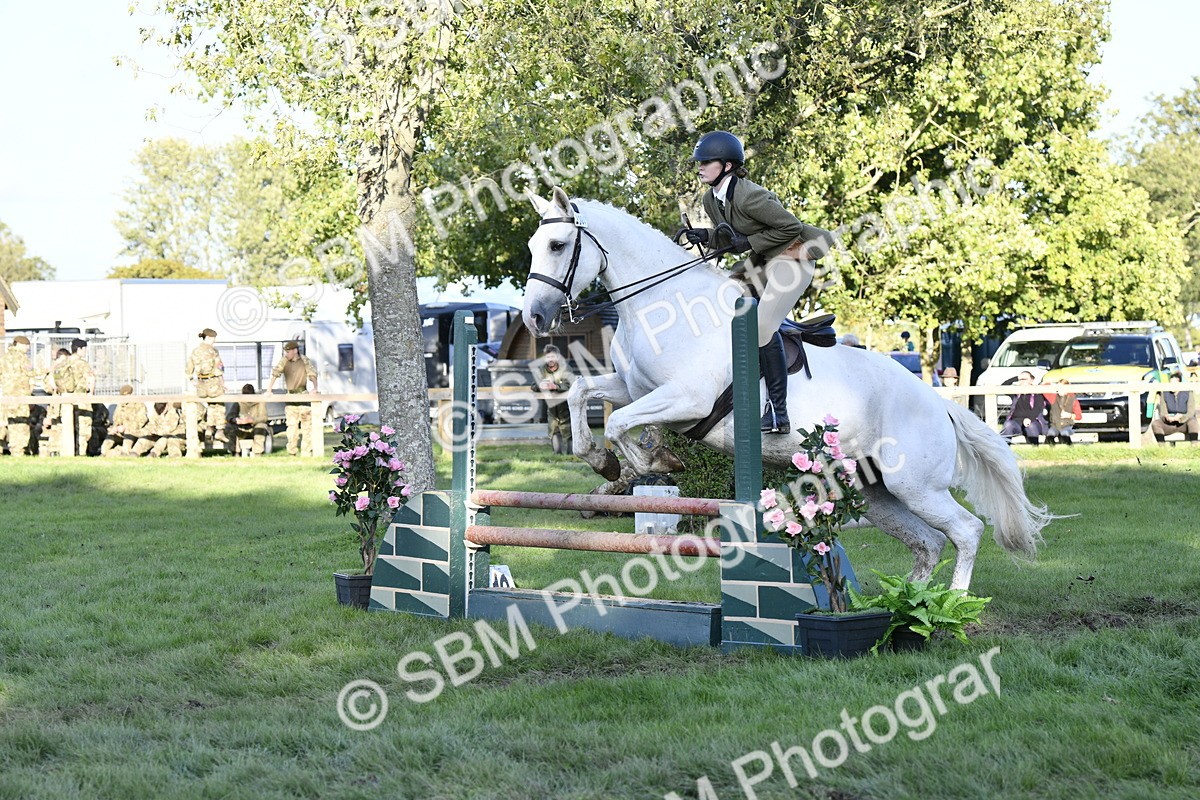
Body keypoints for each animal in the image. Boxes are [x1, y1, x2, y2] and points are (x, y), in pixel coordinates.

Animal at [521, 187, 1050, 590]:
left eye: (558, 245)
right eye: (531, 245)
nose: (534, 318)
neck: (661, 306)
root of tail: (940, 406)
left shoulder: (686, 399)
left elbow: (619, 423)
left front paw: (654, 461)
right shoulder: (631, 387)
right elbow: (583, 395)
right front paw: (605, 461)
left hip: (915, 484)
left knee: (966, 531)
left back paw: (950, 606)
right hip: (876, 491)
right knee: (929, 541)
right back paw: (906, 606)